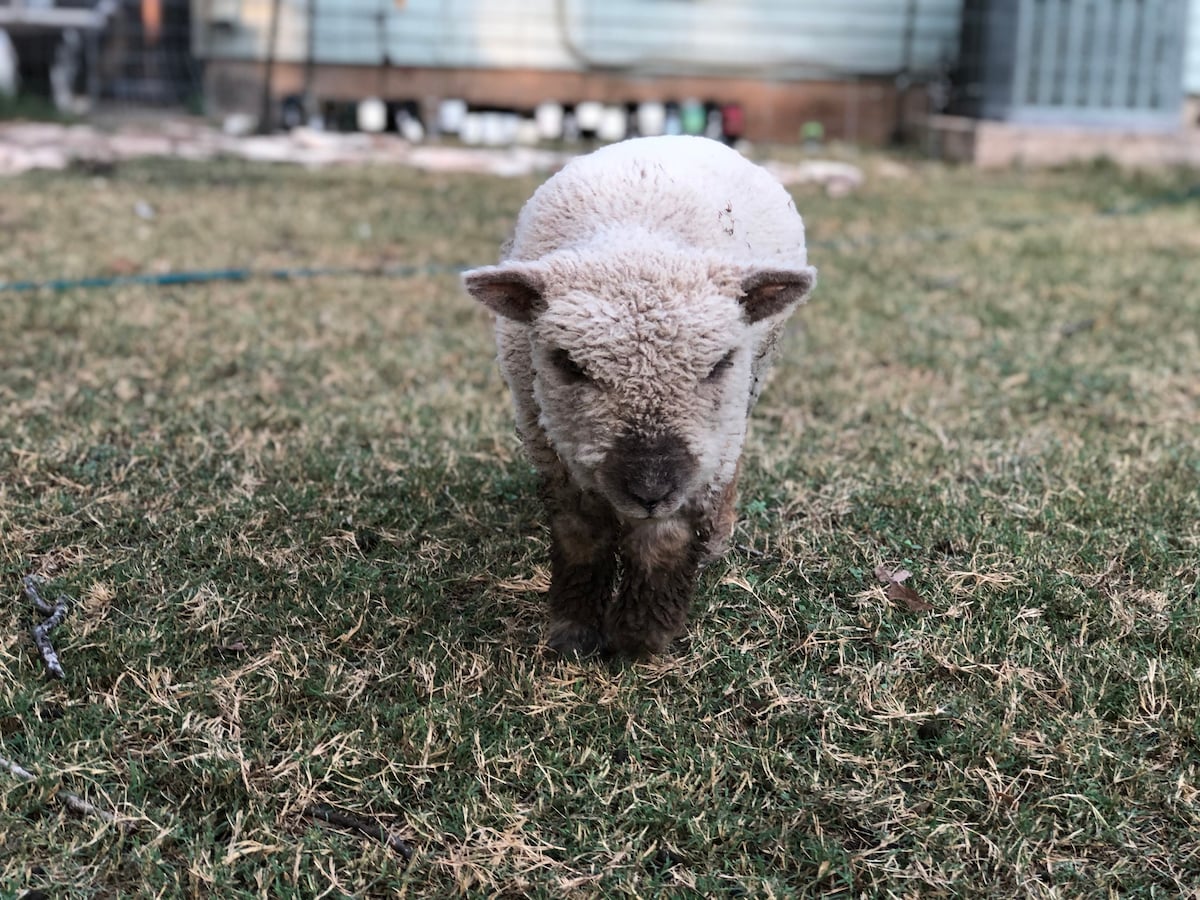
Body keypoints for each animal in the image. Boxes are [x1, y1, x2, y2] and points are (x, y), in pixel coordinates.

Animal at [458, 133, 816, 657]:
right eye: (569, 364)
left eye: (719, 363)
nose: (650, 489)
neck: (637, 234)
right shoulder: (551, 440)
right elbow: (580, 533)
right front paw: (574, 629)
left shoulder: (704, 450)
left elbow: (664, 536)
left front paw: (641, 636)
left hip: (742, 400)